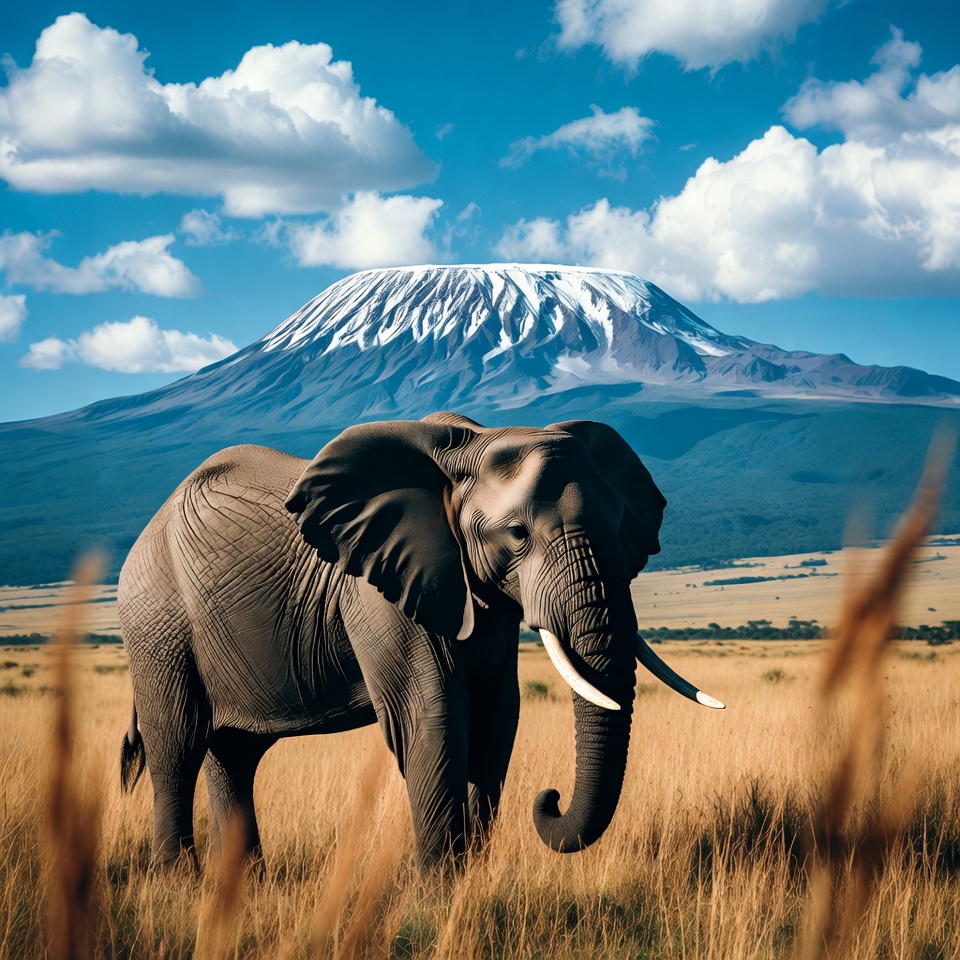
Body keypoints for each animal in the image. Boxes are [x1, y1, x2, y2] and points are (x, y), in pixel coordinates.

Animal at [118, 412, 723, 869]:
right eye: (517, 534)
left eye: (620, 524)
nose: (549, 798)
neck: (470, 444)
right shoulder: (380, 589)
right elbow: (432, 716)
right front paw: (439, 892)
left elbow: (497, 716)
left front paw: (468, 883)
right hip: (156, 621)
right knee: (178, 746)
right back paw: (180, 885)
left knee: (233, 755)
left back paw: (241, 888)